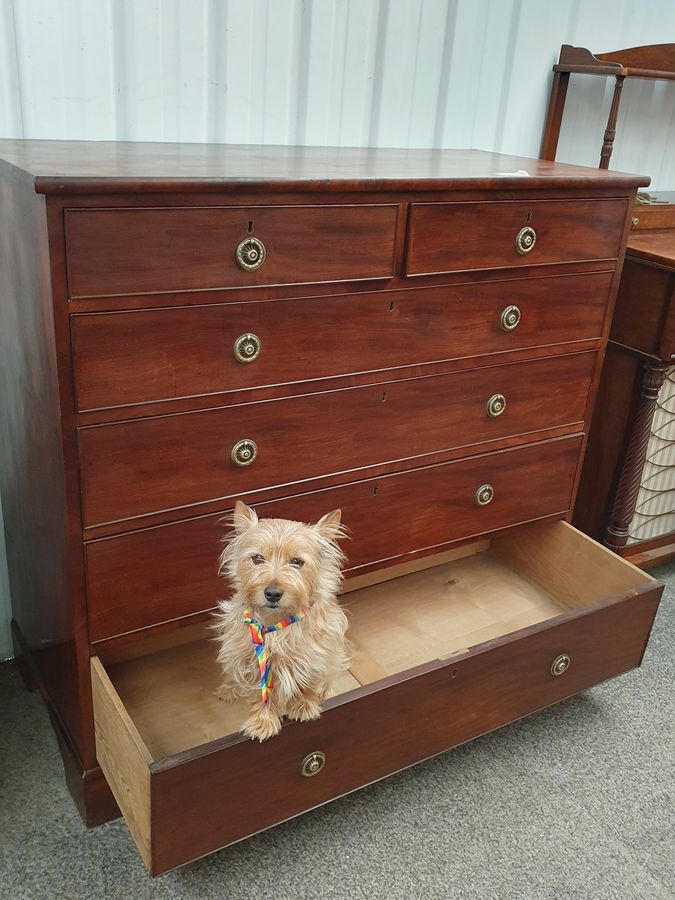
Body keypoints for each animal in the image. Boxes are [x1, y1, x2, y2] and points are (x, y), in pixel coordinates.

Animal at [214, 500, 352, 740]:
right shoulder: (251, 662)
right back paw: (228, 688)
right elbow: (258, 693)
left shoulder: (317, 654)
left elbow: (309, 681)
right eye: (257, 558)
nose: (273, 593)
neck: (276, 622)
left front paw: (305, 706)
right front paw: (262, 721)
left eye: (297, 561)